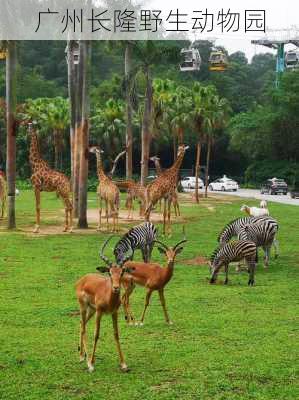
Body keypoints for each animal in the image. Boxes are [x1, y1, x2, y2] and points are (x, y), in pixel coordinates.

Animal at [75, 238, 135, 372]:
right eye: (110, 273)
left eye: (122, 272)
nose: (116, 288)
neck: (108, 297)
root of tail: (82, 279)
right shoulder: (100, 312)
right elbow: (96, 334)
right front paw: (92, 363)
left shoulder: (114, 313)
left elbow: (116, 334)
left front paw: (124, 364)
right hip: (84, 307)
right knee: (84, 327)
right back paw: (86, 361)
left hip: (91, 310)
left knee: (82, 323)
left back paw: (82, 355)